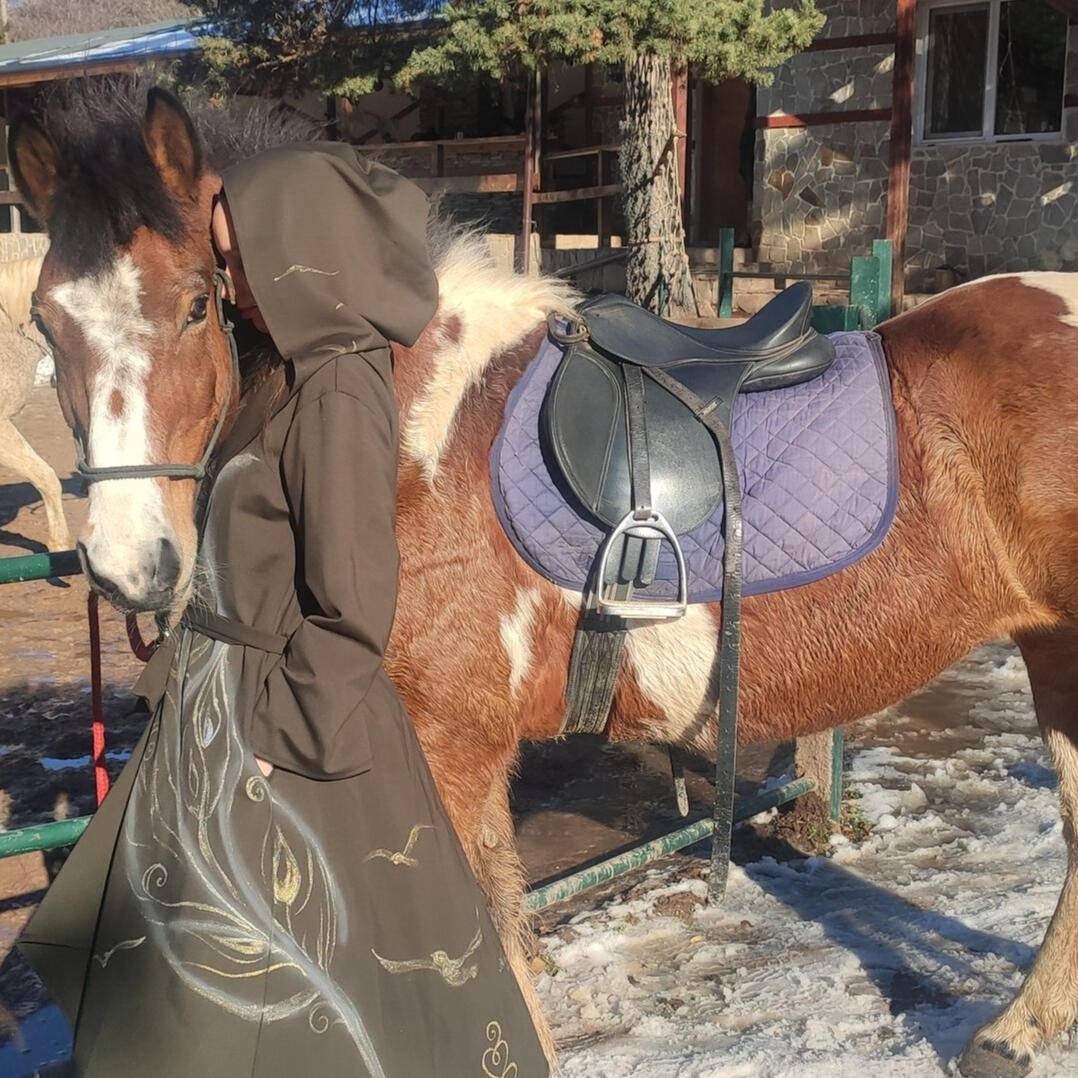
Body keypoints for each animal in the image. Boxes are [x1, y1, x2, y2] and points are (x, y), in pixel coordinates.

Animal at [11, 87, 1078, 1078]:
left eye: (196, 303)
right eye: (45, 323)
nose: (131, 561)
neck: (416, 431)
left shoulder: (455, 746)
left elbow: (493, 937)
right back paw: (1015, 1034)